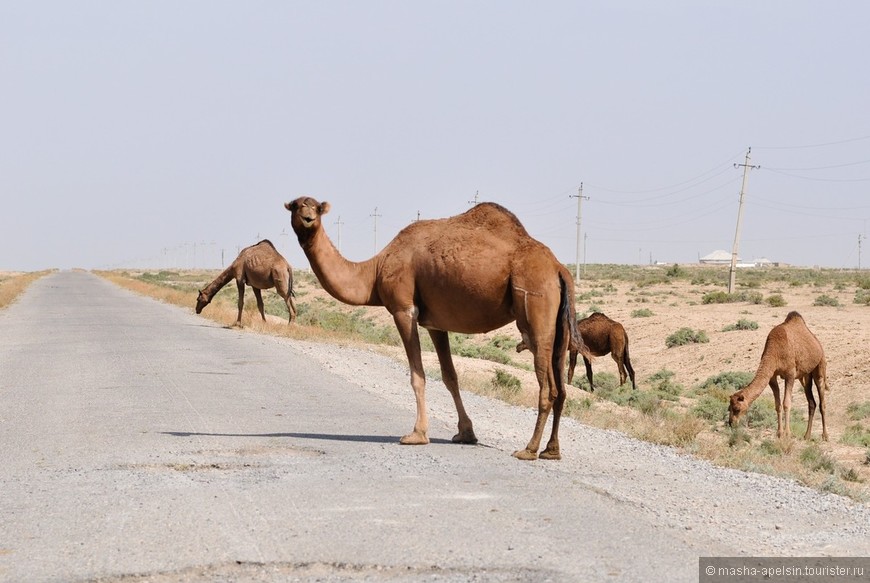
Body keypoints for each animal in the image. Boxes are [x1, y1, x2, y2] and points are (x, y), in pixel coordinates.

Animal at [284, 196, 584, 460]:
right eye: (297, 205)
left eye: (316, 207)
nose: (308, 218)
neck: (376, 270)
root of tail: (559, 269)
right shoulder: (435, 323)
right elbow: (450, 376)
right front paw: (466, 433)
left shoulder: (404, 309)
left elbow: (417, 375)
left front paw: (417, 434)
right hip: (560, 327)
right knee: (562, 388)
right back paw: (551, 451)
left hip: (535, 310)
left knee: (548, 387)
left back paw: (529, 449)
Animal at [728, 312, 832, 440]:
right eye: (729, 408)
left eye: (737, 409)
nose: (731, 423)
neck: (774, 352)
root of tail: (817, 341)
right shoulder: (772, 376)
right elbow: (777, 405)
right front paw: (779, 433)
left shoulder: (790, 374)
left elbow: (786, 403)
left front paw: (787, 434)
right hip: (805, 376)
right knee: (811, 402)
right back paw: (807, 436)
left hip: (820, 365)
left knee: (822, 401)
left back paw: (825, 436)